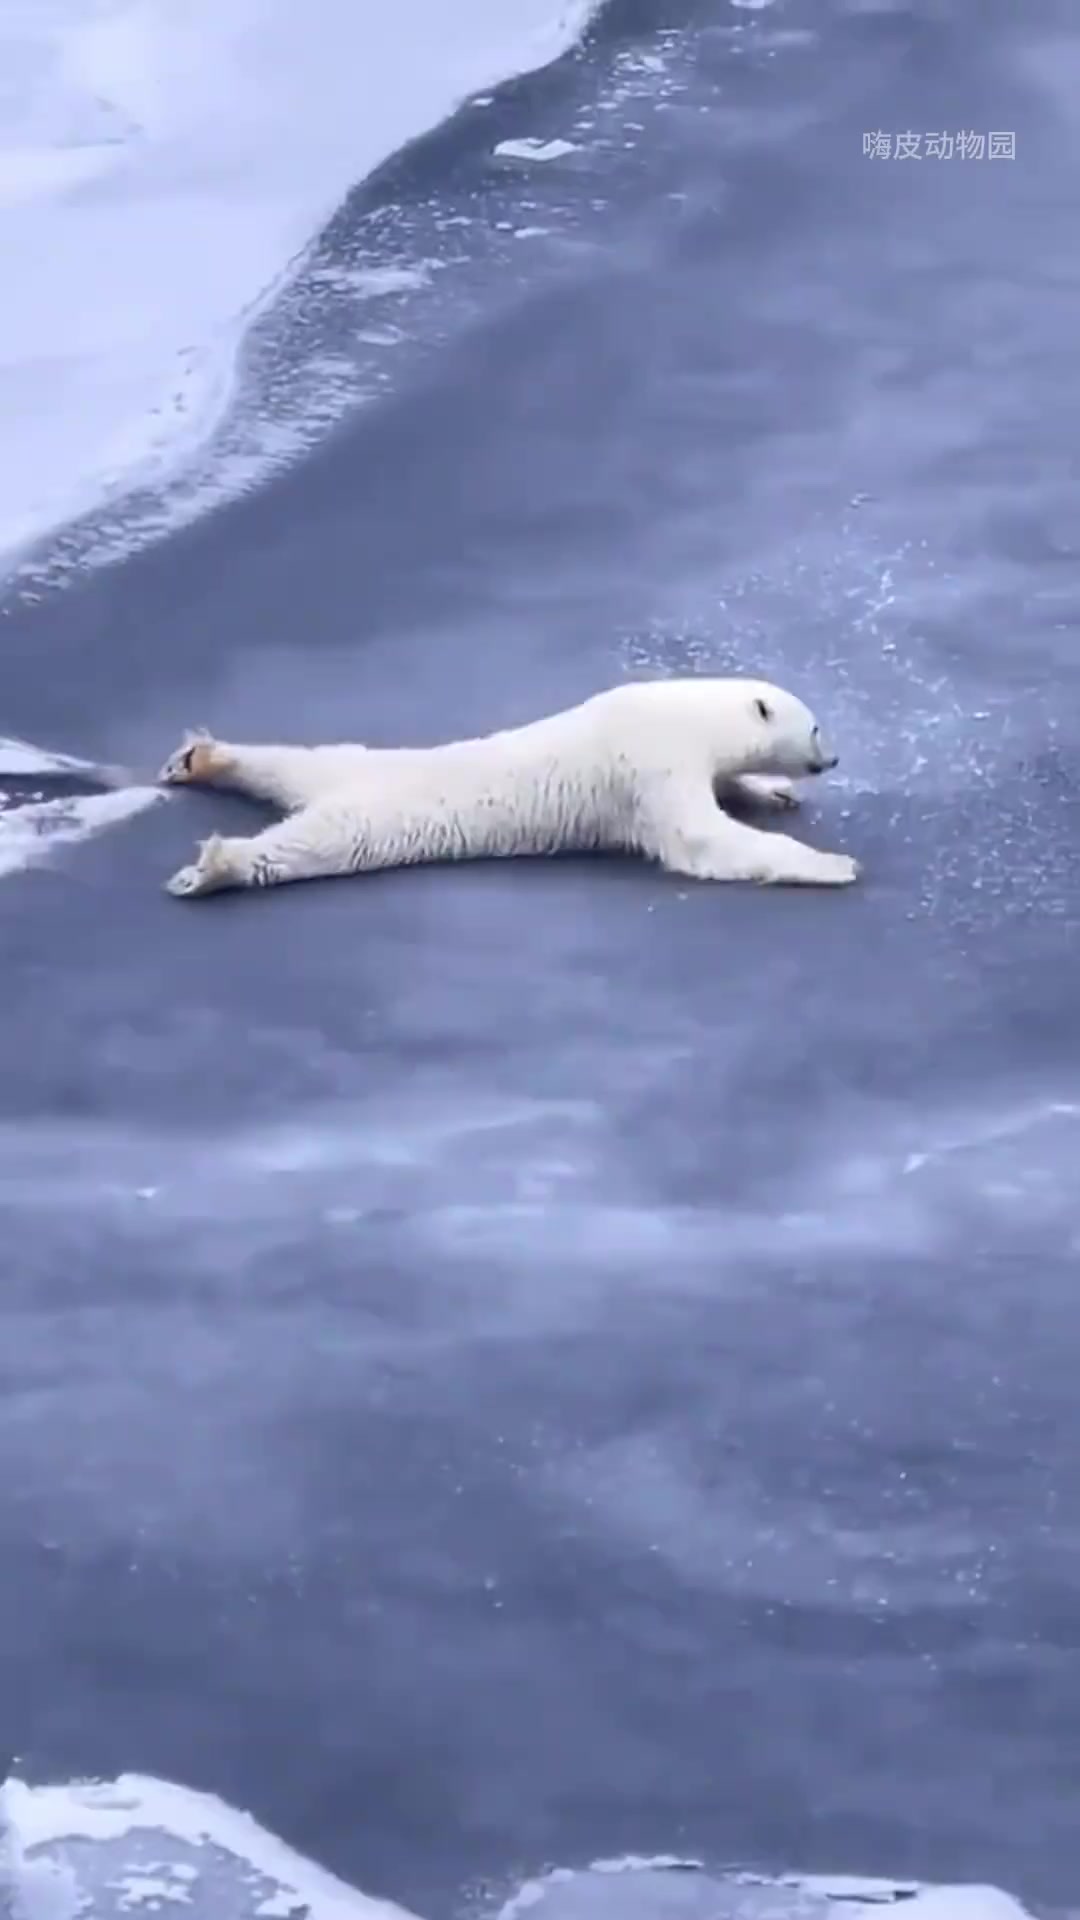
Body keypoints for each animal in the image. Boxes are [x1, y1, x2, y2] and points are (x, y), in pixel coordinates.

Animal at [157, 676, 859, 900]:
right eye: (815, 725)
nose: (833, 758)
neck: (683, 713)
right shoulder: (649, 762)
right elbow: (700, 837)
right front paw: (835, 864)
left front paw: (774, 792)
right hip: (370, 817)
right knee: (311, 845)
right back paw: (212, 867)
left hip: (345, 766)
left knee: (290, 763)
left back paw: (202, 757)